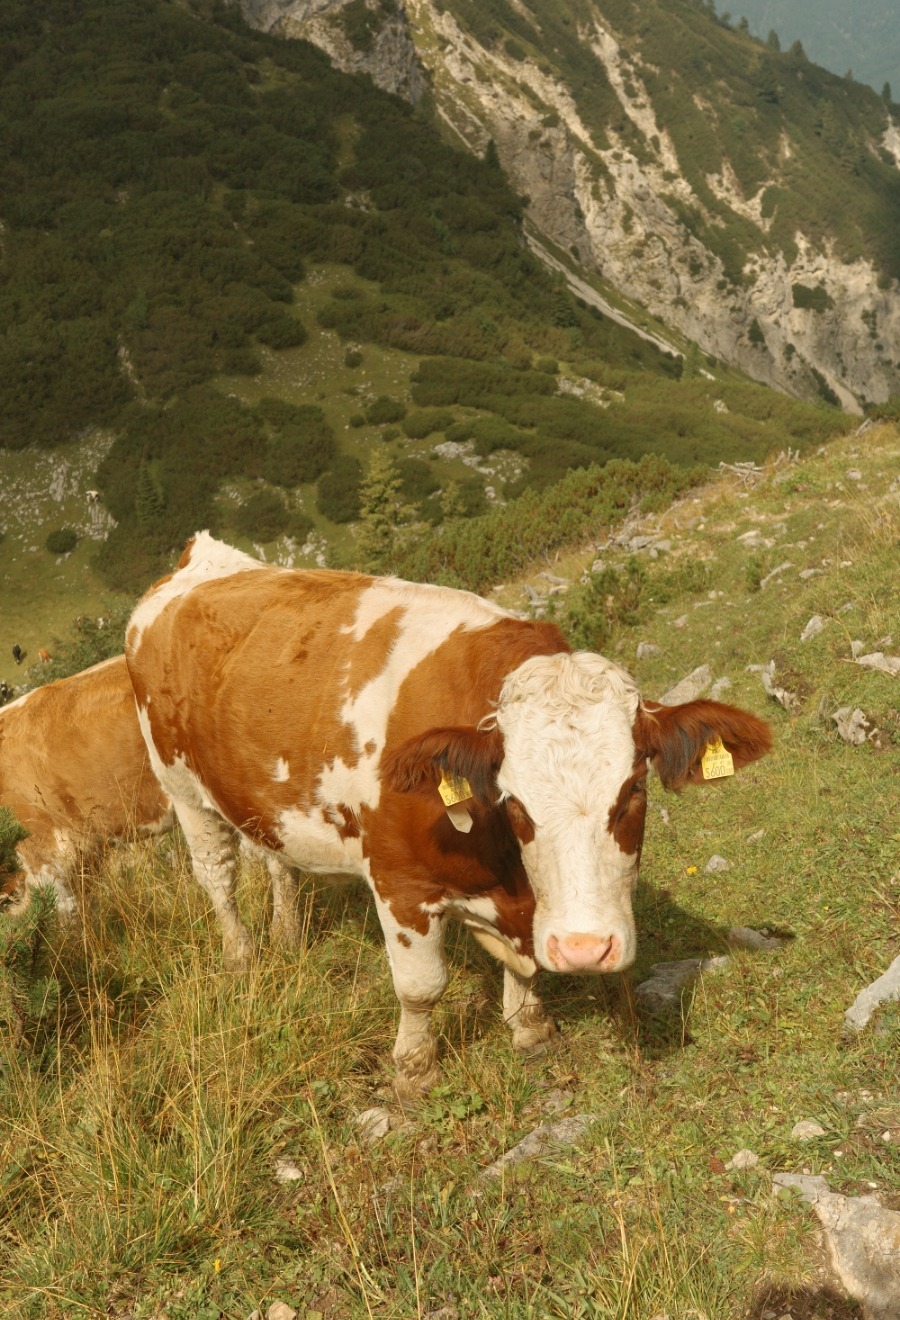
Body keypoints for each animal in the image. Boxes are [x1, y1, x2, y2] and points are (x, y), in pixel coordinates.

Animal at [126, 532, 772, 1099]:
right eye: (514, 800)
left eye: (635, 788)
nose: (586, 949)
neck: (504, 873)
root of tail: (201, 558)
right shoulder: (400, 883)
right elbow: (420, 987)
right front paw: (415, 1069)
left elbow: (527, 967)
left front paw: (531, 1027)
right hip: (182, 788)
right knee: (217, 875)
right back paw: (241, 956)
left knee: (274, 860)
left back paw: (286, 935)